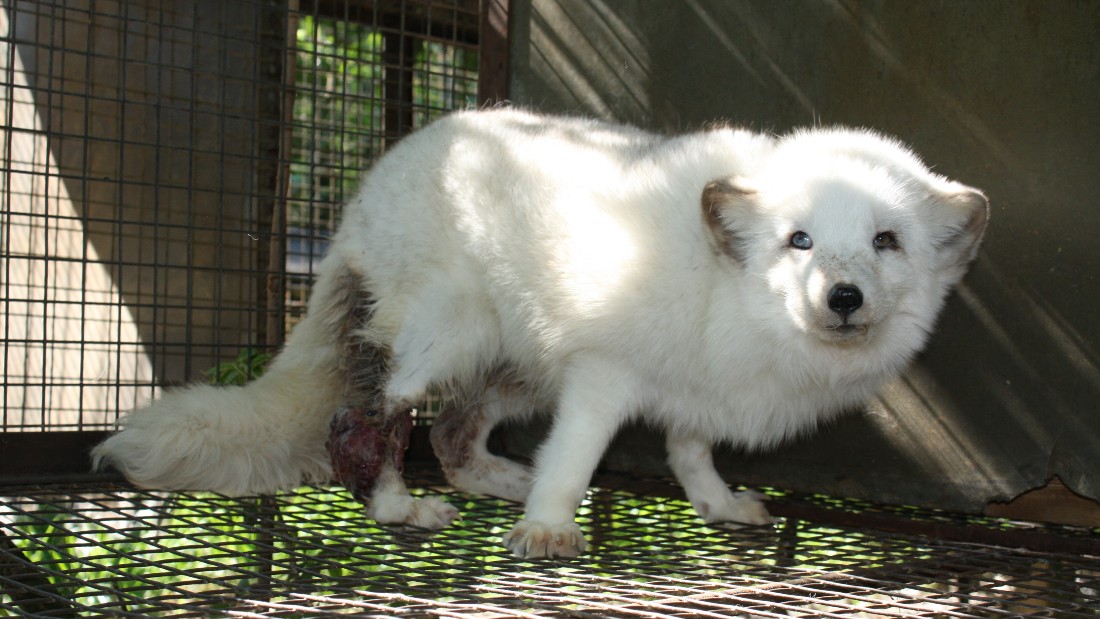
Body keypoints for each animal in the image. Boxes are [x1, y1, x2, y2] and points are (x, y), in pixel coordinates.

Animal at [92, 108, 990, 558]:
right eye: (798, 240)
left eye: (886, 241)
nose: (842, 297)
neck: (726, 284)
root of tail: (366, 191)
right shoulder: (603, 372)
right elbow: (579, 451)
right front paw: (551, 525)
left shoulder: (696, 385)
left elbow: (689, 451)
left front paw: (716, 502)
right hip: (450, 334)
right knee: (371, 417)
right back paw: (399, 506)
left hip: (514, 365)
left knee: (453, 436)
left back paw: (495, 480)